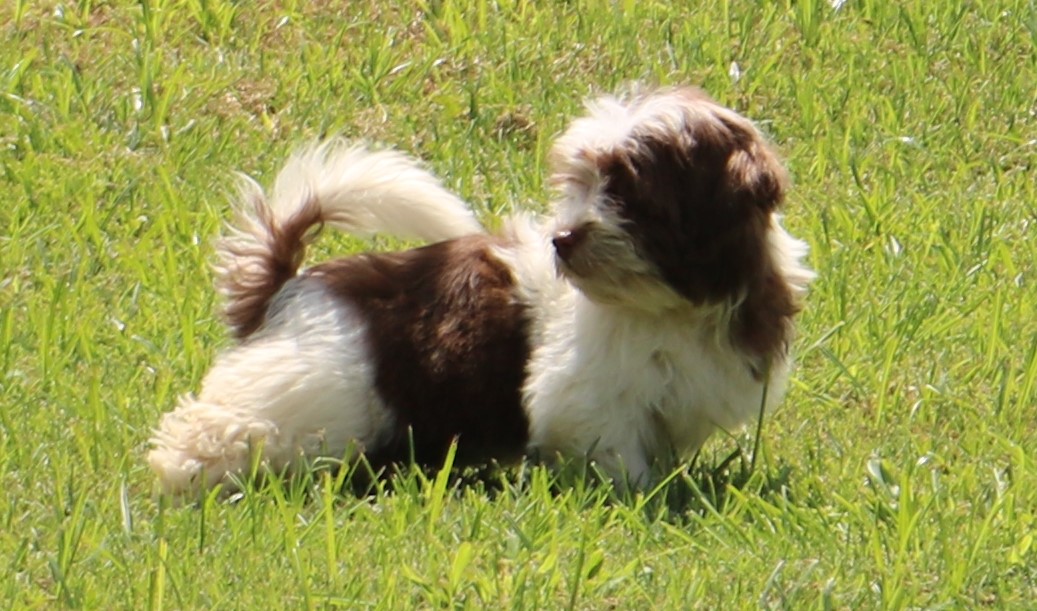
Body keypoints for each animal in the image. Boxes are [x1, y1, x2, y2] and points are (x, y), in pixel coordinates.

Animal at [148, 87, 808, 495]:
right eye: (580, 186)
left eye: (628, 195)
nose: (563, 239)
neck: (671, 306)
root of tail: (289, 287)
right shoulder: (587, 397)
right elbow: (617, 452)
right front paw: (645, 498)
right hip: (306, 389)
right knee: (226, 425)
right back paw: (190, 474)